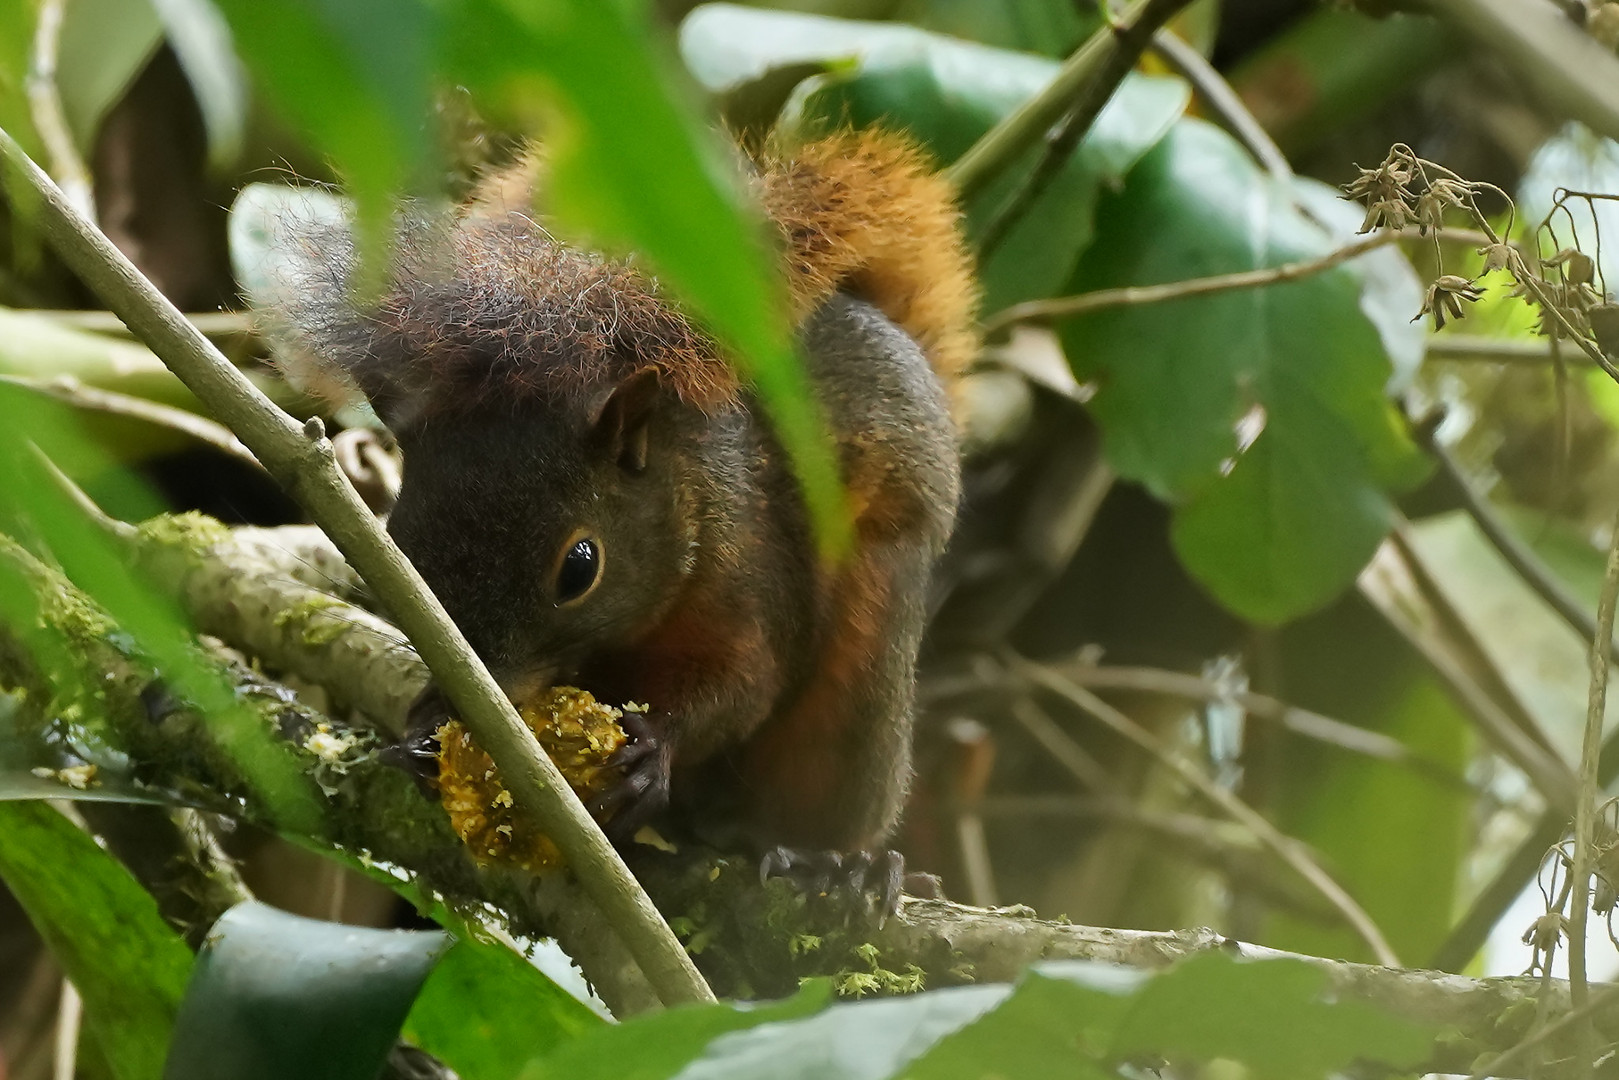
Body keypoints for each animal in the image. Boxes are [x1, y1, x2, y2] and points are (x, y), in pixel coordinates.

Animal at [273, 128, 977, 887]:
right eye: (401, 548)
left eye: (580, 568)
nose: (482, 701)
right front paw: (421, 731)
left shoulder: (751, 578)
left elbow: (745, 684)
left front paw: (654, 750)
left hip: (861, 679)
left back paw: (835, 868)